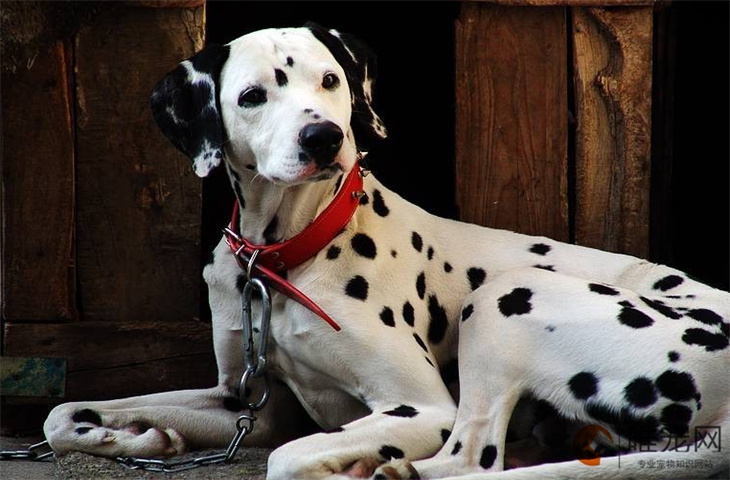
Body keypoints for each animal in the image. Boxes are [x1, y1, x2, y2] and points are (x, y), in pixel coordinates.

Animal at [45, 26, 728, 480]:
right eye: (252, 96)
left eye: (330, 80)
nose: (323, 137)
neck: (288, 255)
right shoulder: (246, 405)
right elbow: (61, 414)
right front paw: (139, 438)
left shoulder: (421, 409)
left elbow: (287, 459)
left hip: (507, 298)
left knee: (472, 460)